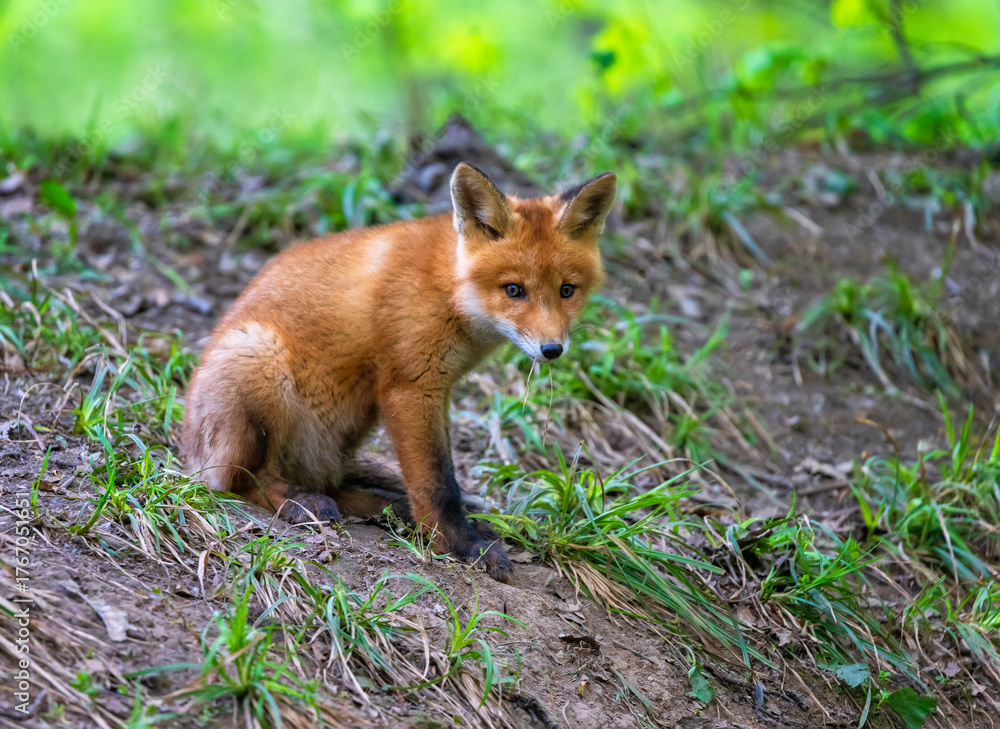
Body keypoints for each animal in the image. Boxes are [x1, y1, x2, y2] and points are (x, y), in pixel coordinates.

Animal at [182, 162, 616, 581]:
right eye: (514, 290)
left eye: (566, 291)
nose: (552, 350)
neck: (449, 289)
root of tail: (190, 456)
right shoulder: (411, 387)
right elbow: (437, 483)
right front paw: (458, 545)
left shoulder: (437, 391)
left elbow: (439, 477)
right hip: (260, 363)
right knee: (240, 482)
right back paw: (298, 501)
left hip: (348, 426)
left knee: (336, 483)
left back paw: (385, 506)